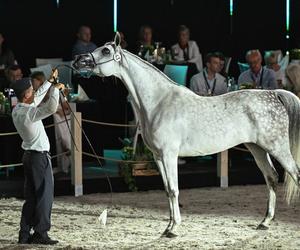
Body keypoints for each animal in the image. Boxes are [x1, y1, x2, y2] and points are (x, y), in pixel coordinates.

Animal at [73, 33, 300, 238]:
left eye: (105, 51)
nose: (77, 61)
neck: (159, 102)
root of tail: (275, 93)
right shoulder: (157, 157)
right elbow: (167, 189)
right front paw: (168, 227)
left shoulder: (169, 155)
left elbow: (174, 189)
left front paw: (174, 229)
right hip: (258, 148)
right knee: (272, 177)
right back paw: (265, 222)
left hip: (278, 148)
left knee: (294, 175)